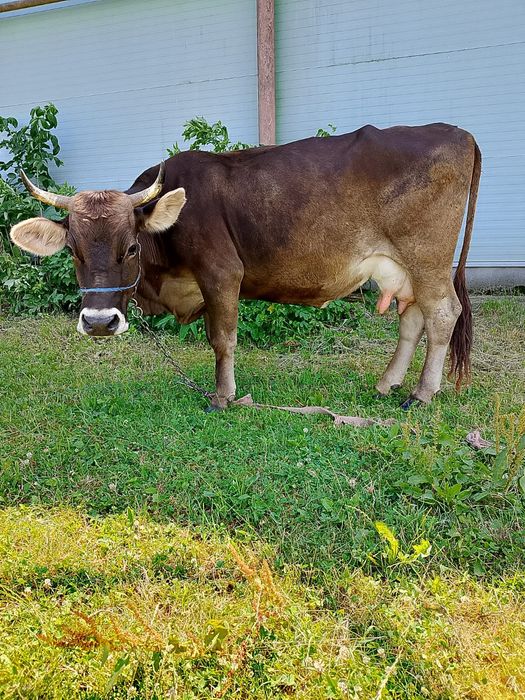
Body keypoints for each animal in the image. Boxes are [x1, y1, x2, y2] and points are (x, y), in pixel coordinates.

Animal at [10, 122, 481, 411]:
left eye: (130, 248)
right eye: (73, 250)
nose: (99, 323)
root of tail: (456, 132)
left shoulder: (221, 273)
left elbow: (222, 340)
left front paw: (223, 397)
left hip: (427, 258)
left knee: (444, 314)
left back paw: (422, 393)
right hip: (405, 268)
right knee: (413, 319)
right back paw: (388, 383)